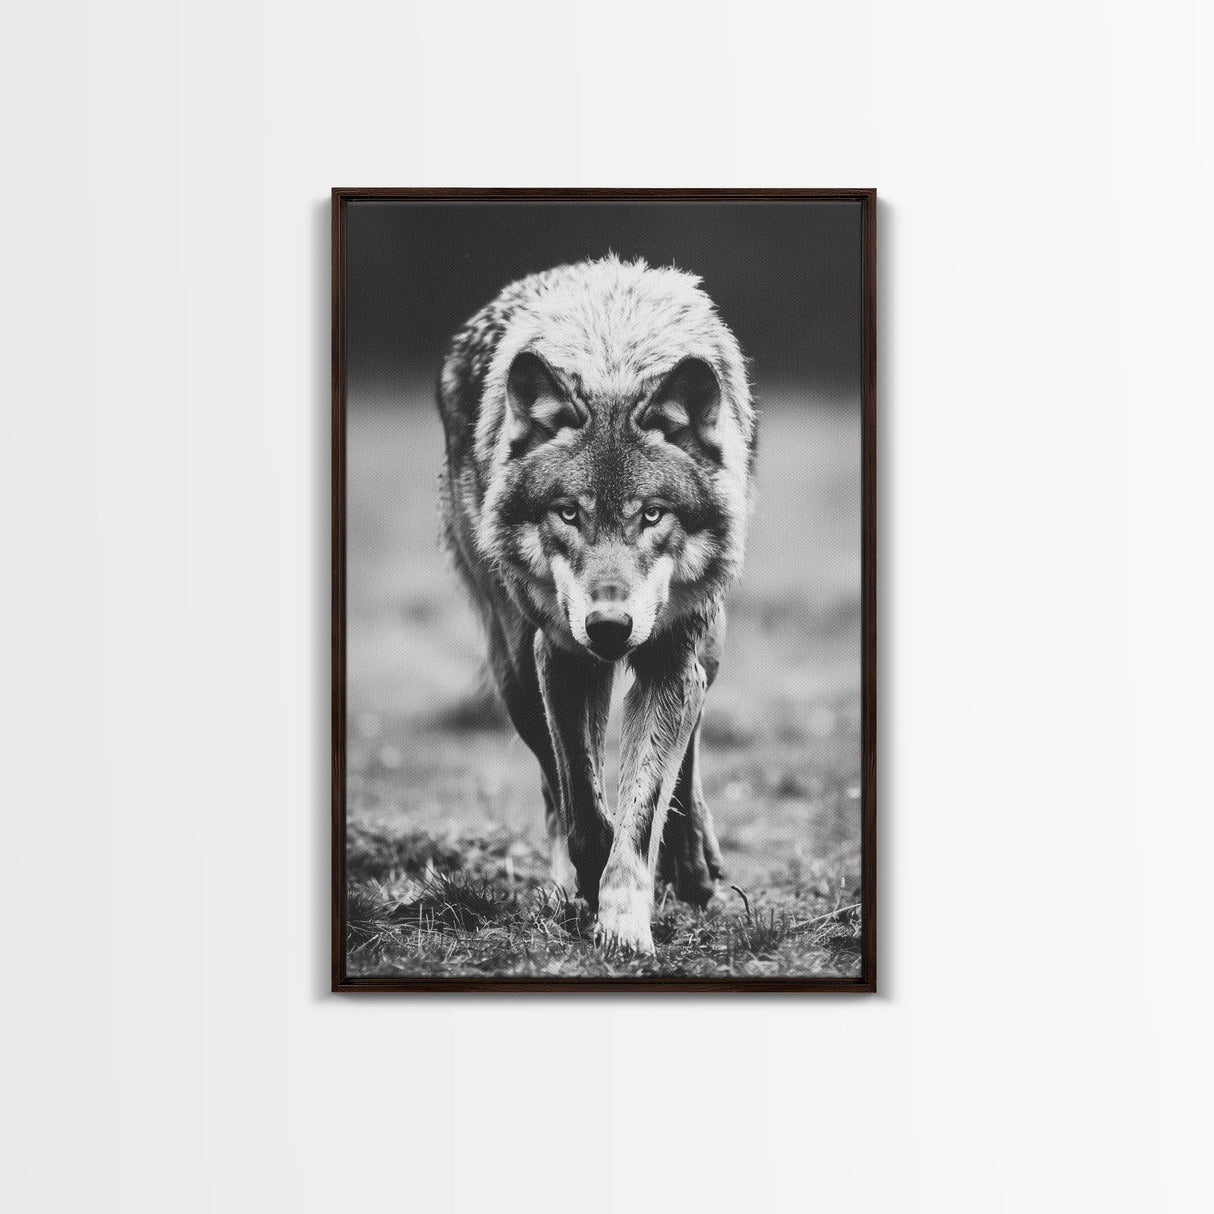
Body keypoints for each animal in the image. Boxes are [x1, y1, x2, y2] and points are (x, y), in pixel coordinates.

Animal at [436, 255, 756, 954]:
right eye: (568, 513)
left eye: (652, 515)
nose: (610, 626)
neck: (613, 359)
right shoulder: (560, 656)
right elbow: (583, 802)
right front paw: (592, 878)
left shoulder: (668, 659)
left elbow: (644, 802)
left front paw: (626, 922)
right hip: (514, 668)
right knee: (554, 788)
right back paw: (569, 885)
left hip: (706, 644)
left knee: (689, 745)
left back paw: (693, 861)